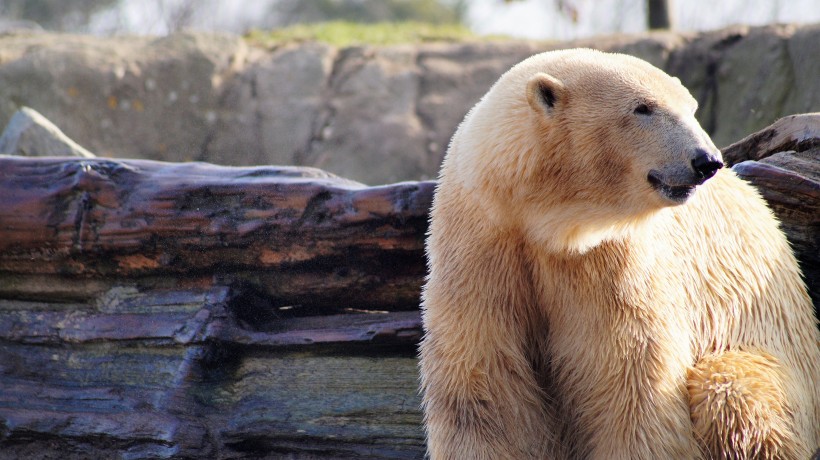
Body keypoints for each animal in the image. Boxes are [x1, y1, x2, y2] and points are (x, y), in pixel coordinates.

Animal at [420, 48, 820, 458]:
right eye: (643, 108)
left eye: (690, 107)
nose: (706, 161)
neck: (546, 221)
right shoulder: (483, 241)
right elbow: (484, 383)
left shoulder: (613, 259)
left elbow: (628, 376)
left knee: (732, 394)